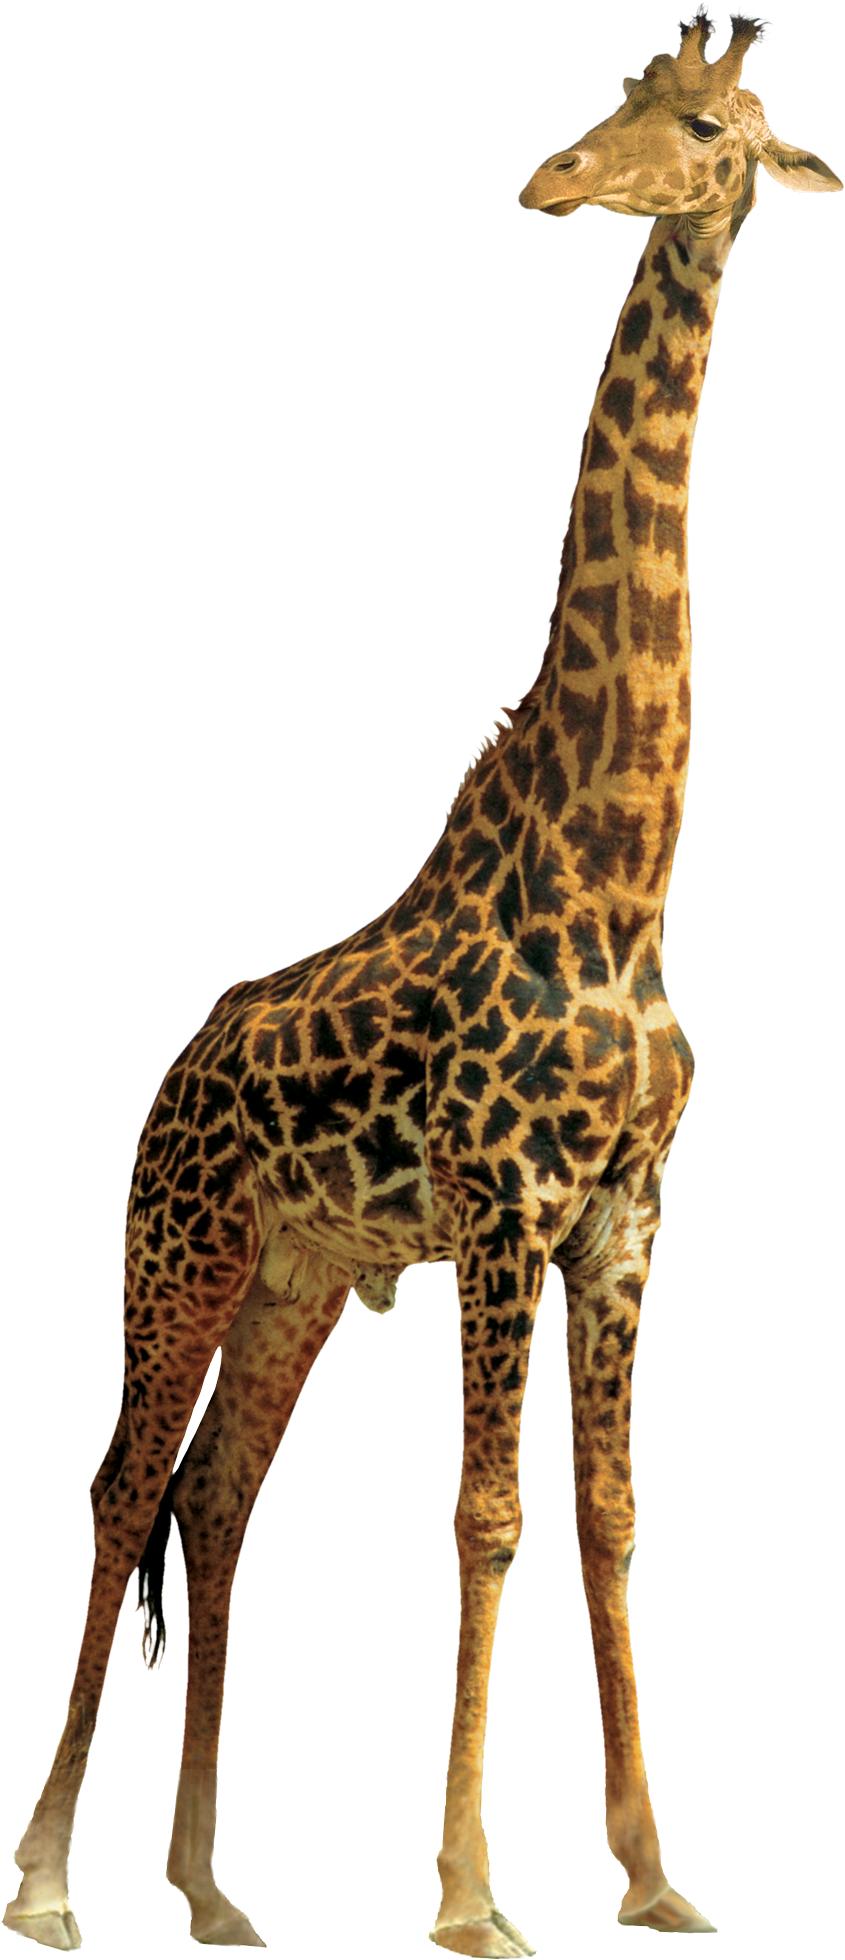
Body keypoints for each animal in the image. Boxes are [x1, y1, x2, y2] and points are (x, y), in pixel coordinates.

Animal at [5, 7, 841, 1953]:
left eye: (709, 130)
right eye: (617, 106)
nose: (555, 182)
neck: (613, 876)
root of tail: (177, 1062)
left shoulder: (624, 1218)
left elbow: (607, 1517)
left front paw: (653, 1874)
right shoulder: (506, 1204)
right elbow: (485, 1518)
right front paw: (469, 1896)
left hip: (300, 1272)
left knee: (221, 1504)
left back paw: (209, 1892)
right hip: (182, 1246)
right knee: (121, 1487)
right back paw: (43, 1883)